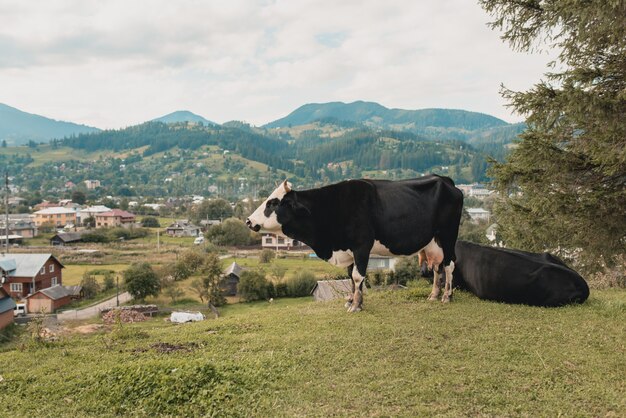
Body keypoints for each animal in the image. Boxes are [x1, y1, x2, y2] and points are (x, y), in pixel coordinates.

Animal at [246, 175, 460, 312]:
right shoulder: (347, 250)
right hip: (433, 242)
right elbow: (350, 276)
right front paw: (351, 300)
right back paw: (433, 294)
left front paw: (357, 305)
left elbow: (358, 276)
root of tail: (446, 180)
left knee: (449, 265)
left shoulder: (362, 247)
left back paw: (447, 296)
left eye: (273, 203)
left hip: (449, 236)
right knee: (436, 267)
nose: (248, 221)